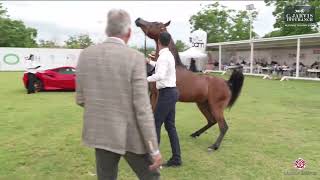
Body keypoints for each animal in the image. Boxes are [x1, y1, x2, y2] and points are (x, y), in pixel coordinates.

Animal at [134, 17, 244, 150]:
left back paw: (214, 146)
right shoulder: (152, 95)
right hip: (202, 104)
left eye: (155, 23)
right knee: (212, 121)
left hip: (216, 107)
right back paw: (195, 134)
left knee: (223, 126)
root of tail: (227, 83)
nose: (138, 20)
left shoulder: (157, 96)